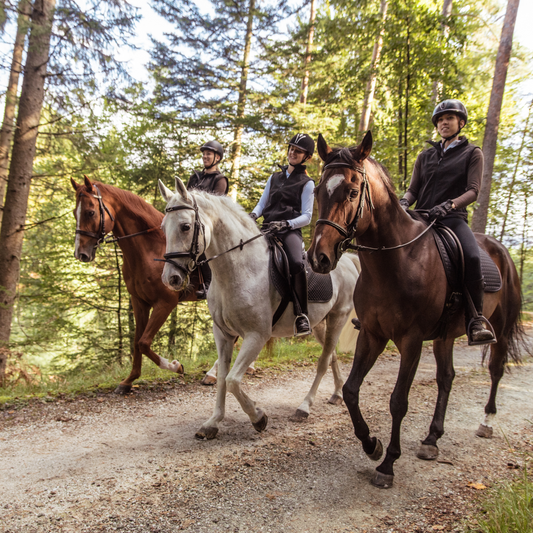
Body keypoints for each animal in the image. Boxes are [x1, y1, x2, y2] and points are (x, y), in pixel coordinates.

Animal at [69, 177, 196, 392]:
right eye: (73, 213)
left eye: (90, 212)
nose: (81, 254)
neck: (150, 250)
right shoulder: (139, 302)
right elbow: (137, 341)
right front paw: (129, 381)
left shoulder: (165, 303)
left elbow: (144, 343)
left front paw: (176, 366)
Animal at [158, 177, 358, 438]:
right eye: (163, 228)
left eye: (184, 226)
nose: (170, 278)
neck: (238, 269)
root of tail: (348, 261)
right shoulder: (222, 334)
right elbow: (222, 377)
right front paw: (213, 422)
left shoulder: (257, 335)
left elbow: (233, 380)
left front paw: (258, 417)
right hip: (319, 325)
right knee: (331, 355)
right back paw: (336, 394)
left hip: (338, 318)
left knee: (323, 361)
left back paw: (304, 407)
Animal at [308, 132, 524, 486]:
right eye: (317, 191)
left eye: (352, 192)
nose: (318, 257)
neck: (397, 260)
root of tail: (499, 248)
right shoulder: (372, 334)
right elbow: (352, 391)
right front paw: (372, 445)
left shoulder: (410, 341)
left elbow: (398, 401)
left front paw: (387, 464)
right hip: (445, 337)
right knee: (446, 378)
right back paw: (432, 438)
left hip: (500, 329)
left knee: (495, 370)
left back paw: (486, 422)